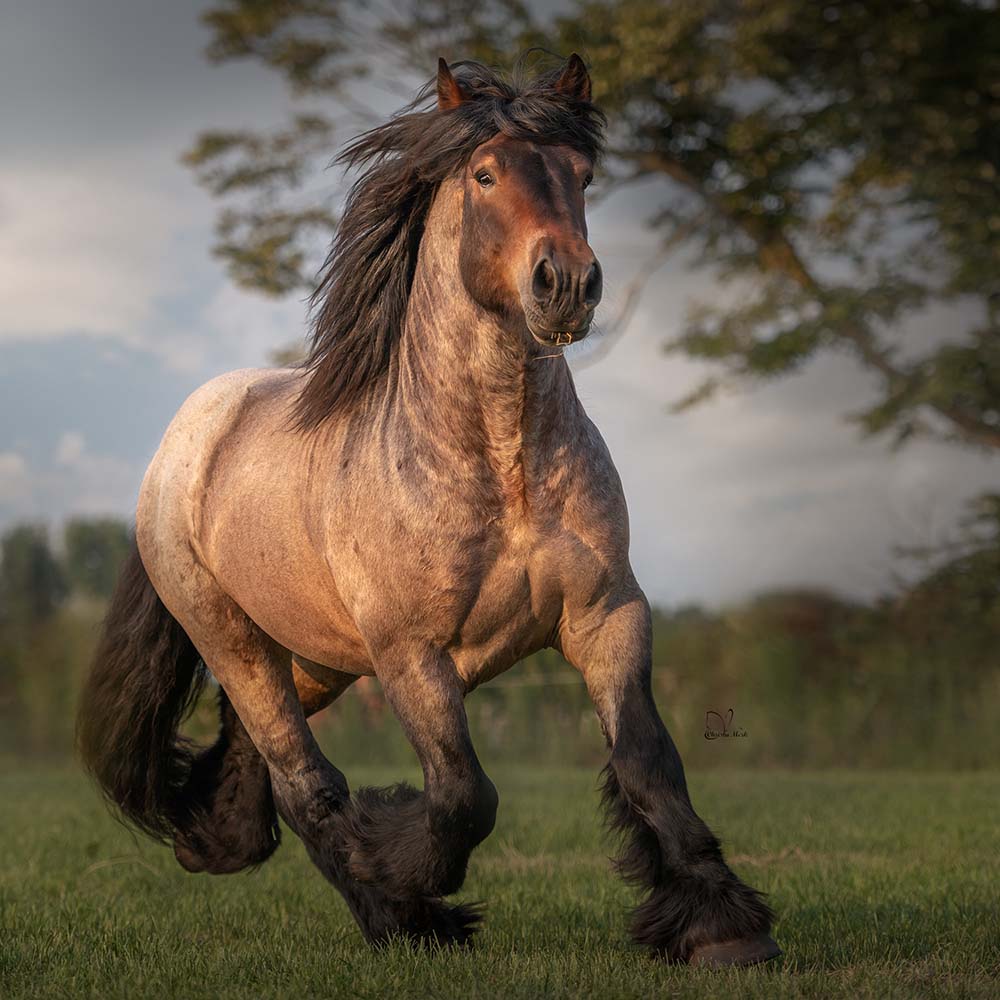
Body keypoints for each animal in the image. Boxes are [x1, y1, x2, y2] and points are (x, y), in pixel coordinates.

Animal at [78, 56, 780, 968]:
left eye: (583, 176)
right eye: (484, 174)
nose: (566, 284)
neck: (502, 467)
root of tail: (179, 447)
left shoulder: (606, 615)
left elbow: (648, 762)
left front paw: (726, 929)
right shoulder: (412, 653)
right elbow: (463, 794)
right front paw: (395, 857)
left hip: (316, 655)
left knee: (252, 750)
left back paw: (221, 843)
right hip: (234, 640)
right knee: (304, 782)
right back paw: (401, 917)